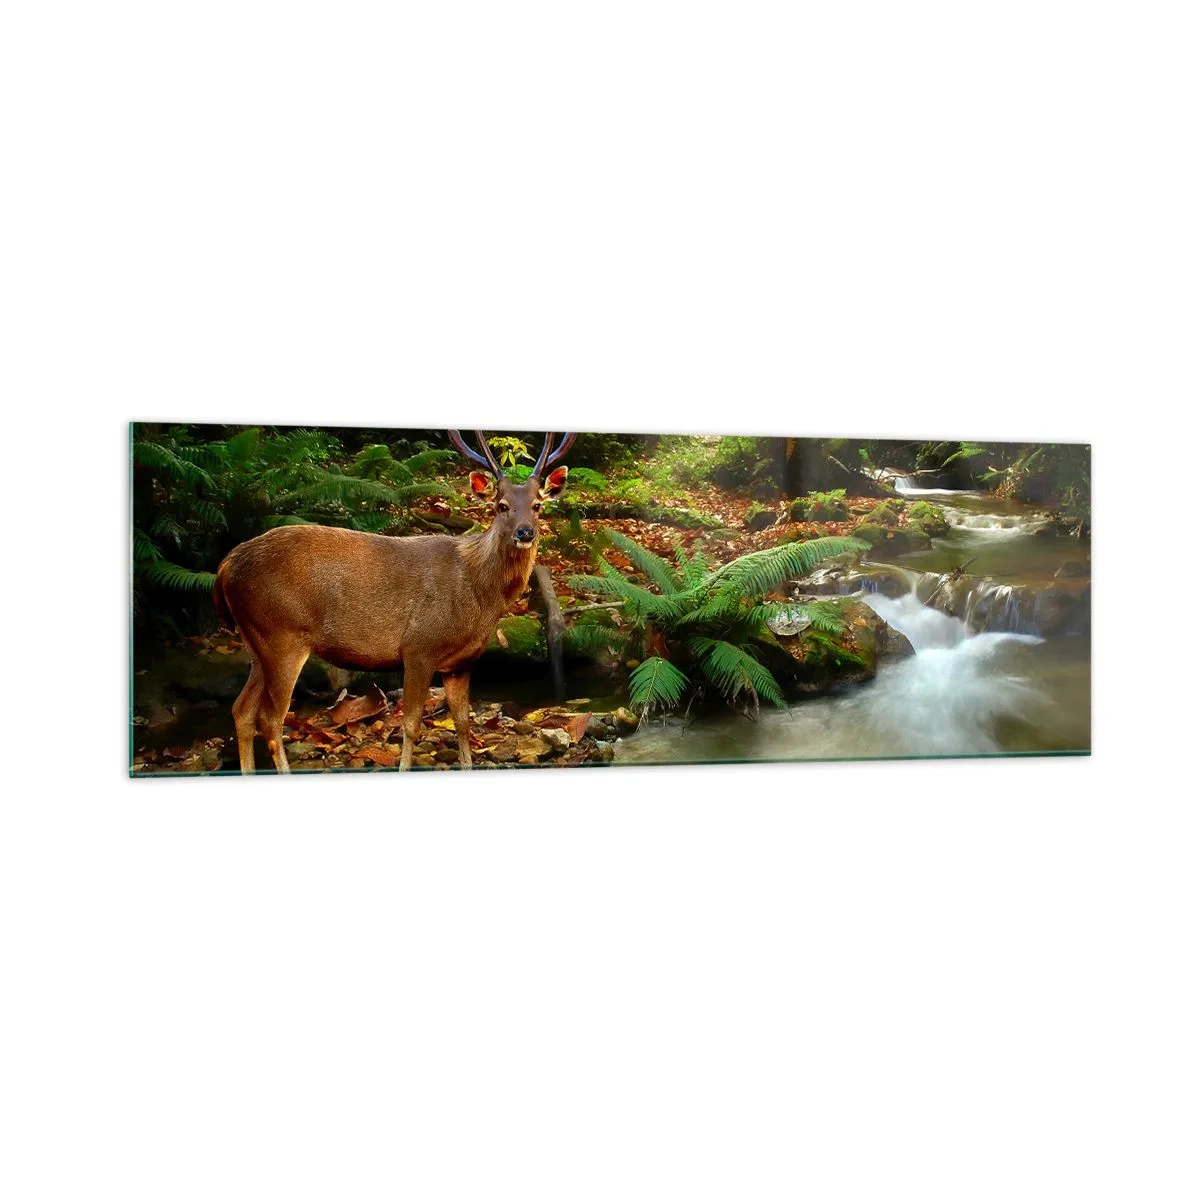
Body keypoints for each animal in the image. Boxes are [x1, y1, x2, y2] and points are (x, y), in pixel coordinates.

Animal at [212, 430, 575, 772]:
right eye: (501, 506)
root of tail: (224, 567)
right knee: (270, 720)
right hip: (281, 634)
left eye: (537, 505)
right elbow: (411, 725)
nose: (525, 532)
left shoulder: (460, 663)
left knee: (241, 710)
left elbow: (462, 722)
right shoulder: (419, 647)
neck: (478, 595)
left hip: (257, 641)